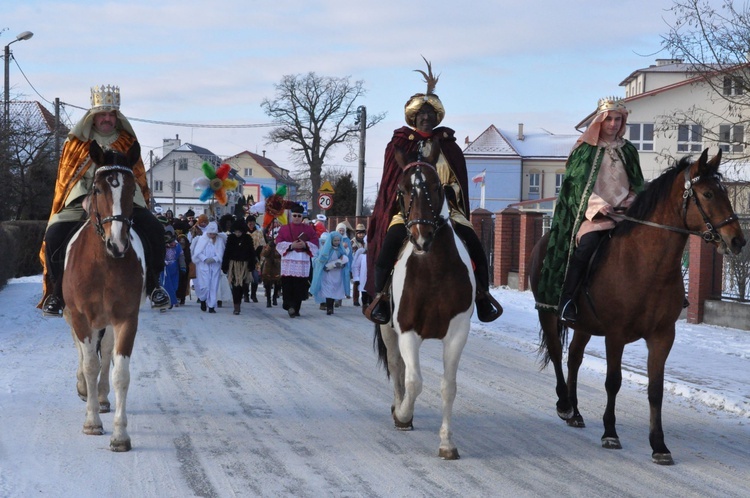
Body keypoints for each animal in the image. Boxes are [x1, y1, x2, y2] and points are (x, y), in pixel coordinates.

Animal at [63, 140, 145, 452]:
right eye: (98, 189)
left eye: (132, 190)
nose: (118, 244)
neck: (104, 264)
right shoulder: (79, 316)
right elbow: (89, 364)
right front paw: (92, 422)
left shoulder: (126, 318)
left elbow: (119, 372)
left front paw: (120, 435)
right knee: (82, 352)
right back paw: (85, 390)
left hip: (107, 322)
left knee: (106, 350)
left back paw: (101, 396)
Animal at [376, 158, 476, 462]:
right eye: (402, 189)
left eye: (436, 187)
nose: (421, 238)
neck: (433, 270)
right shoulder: (408, 331)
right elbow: (414, 382)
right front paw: (402, 414)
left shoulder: (457, 333)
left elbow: (448, 387)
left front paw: (447, 443)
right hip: (387, 329)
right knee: (396, 365)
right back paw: (398, 408)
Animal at [532, 147, 748, 462]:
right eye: (708, 194)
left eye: (725, 192)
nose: (737, 240)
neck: (647, 264)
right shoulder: (615, 335)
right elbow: (613, 381)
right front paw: (610, 433)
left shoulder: (662, 336)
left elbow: (656, 389)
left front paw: (659, 445)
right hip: (548, 314)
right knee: (558, 354)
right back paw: (564, 405)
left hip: (584, 325)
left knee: (574, 358)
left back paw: (576, 412)